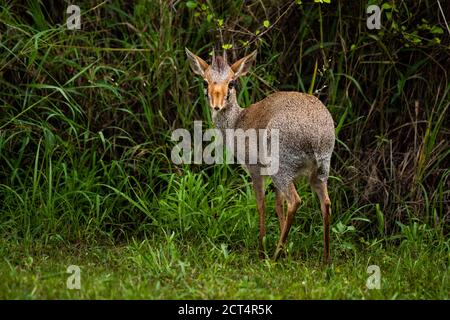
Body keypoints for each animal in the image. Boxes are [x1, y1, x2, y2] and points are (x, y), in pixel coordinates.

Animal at [185, 47, 336, 262]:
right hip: (320, 170)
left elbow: (261, 204)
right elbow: (278, 205)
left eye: (231, 82)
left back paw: (274, 255)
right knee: (325, 203)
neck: (237, 121)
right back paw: (324, 259)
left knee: (295, 201)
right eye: (205, 82)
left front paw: (261, 248)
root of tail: (317, 135)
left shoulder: (255, 170)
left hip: (281, 169)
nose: (216, 105)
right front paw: (287, 251)